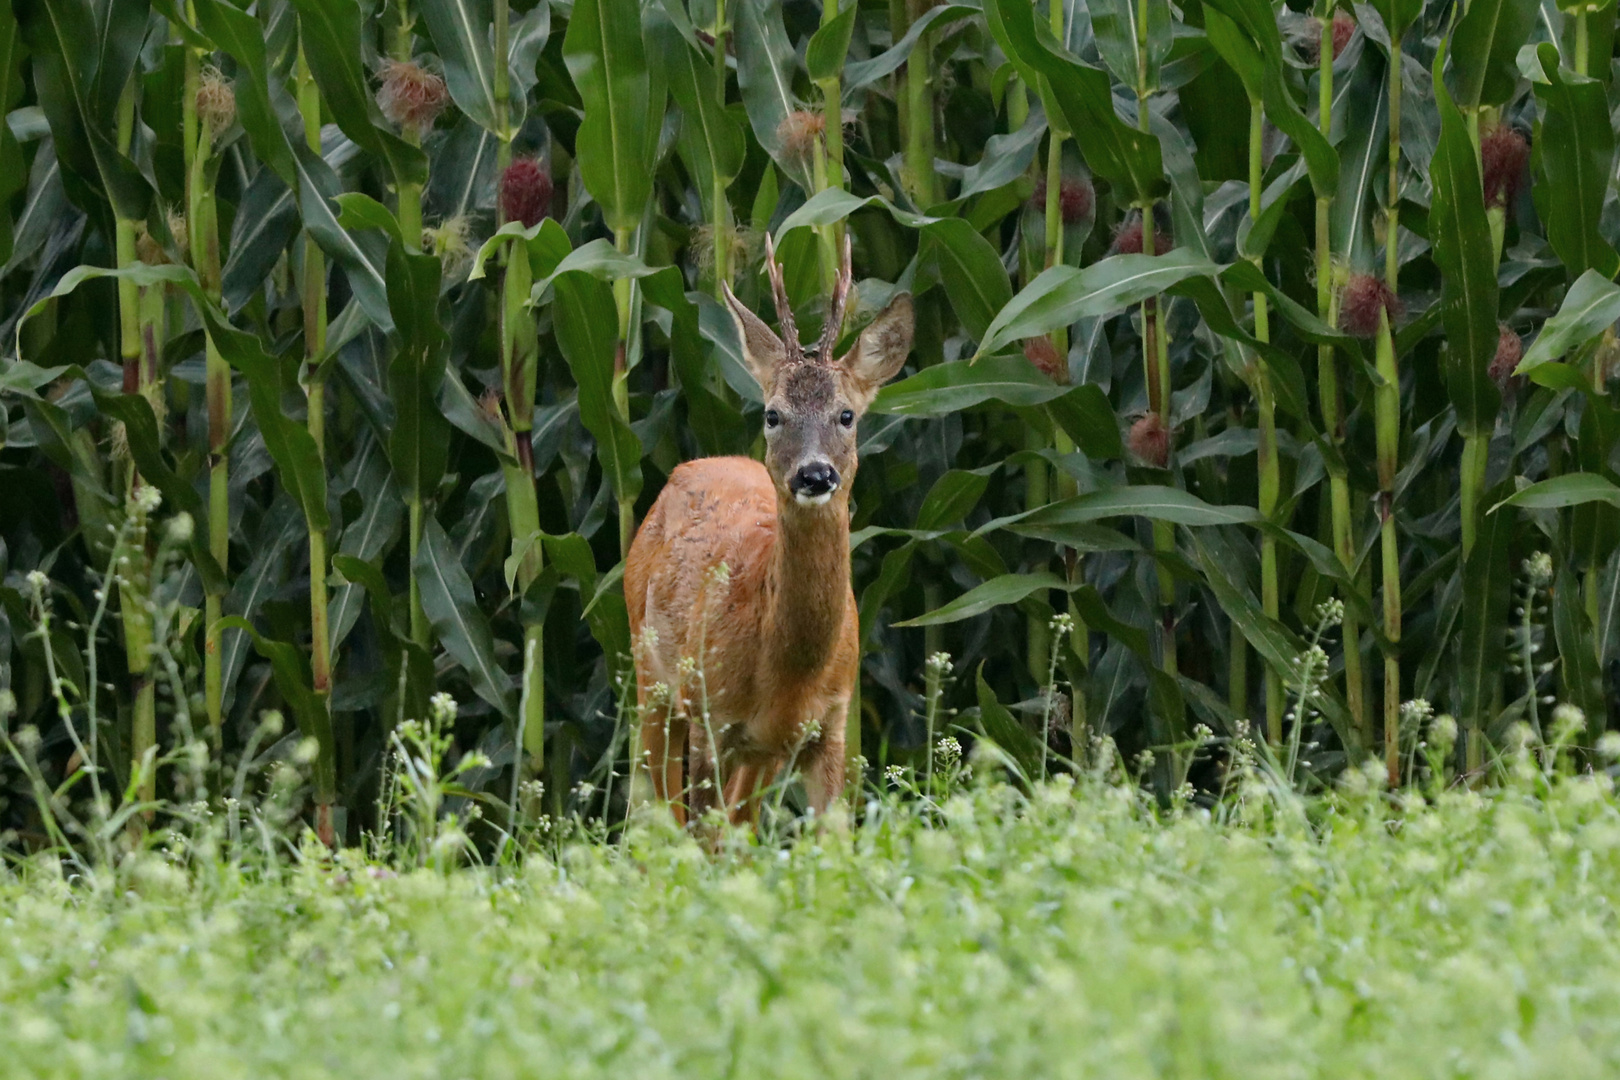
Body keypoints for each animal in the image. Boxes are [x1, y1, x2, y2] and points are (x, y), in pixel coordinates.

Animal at [625, 238, 920, 829]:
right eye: (772, 415)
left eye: (847, 415)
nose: (815, 474)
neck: (785, 674)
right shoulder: (711, 719)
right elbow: (697, 832)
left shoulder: (831, 729)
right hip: (650, 672)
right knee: (651, 804)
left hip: (759, 755)